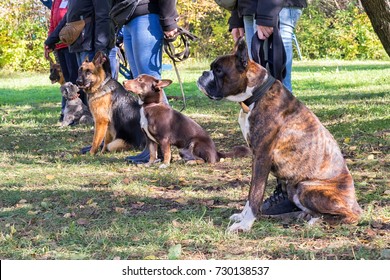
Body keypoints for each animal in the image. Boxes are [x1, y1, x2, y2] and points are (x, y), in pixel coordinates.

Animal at [198, 38, 362, 232]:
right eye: (212, 68)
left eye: (218, 70)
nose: (203, 73)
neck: (256, 96)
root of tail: (355, 202)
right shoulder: (255, 157)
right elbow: (251, 192)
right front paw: (242, 216)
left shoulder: (262, 157)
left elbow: (255, 194)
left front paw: (245, 225)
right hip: (294, 189)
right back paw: (304, 216)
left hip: (306, 188)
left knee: (350, 216)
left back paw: (317, 221)